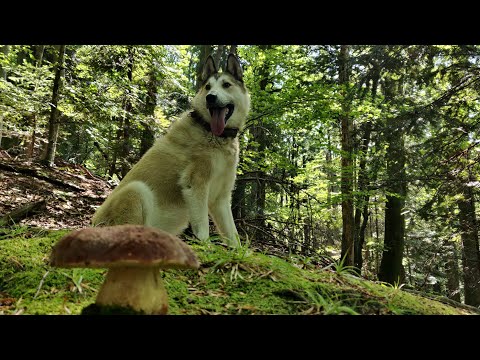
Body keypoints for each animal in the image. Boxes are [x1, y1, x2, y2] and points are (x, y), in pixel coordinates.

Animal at [93, 53, 251, 248]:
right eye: (208, 87)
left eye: (226, 85)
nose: (210, 97)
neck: (214, 134)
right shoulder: (196, 185)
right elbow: (203, 228)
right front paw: (205, 246)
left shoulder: (221, 199)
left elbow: (233, 234)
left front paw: (237, 251)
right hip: (137, 190)